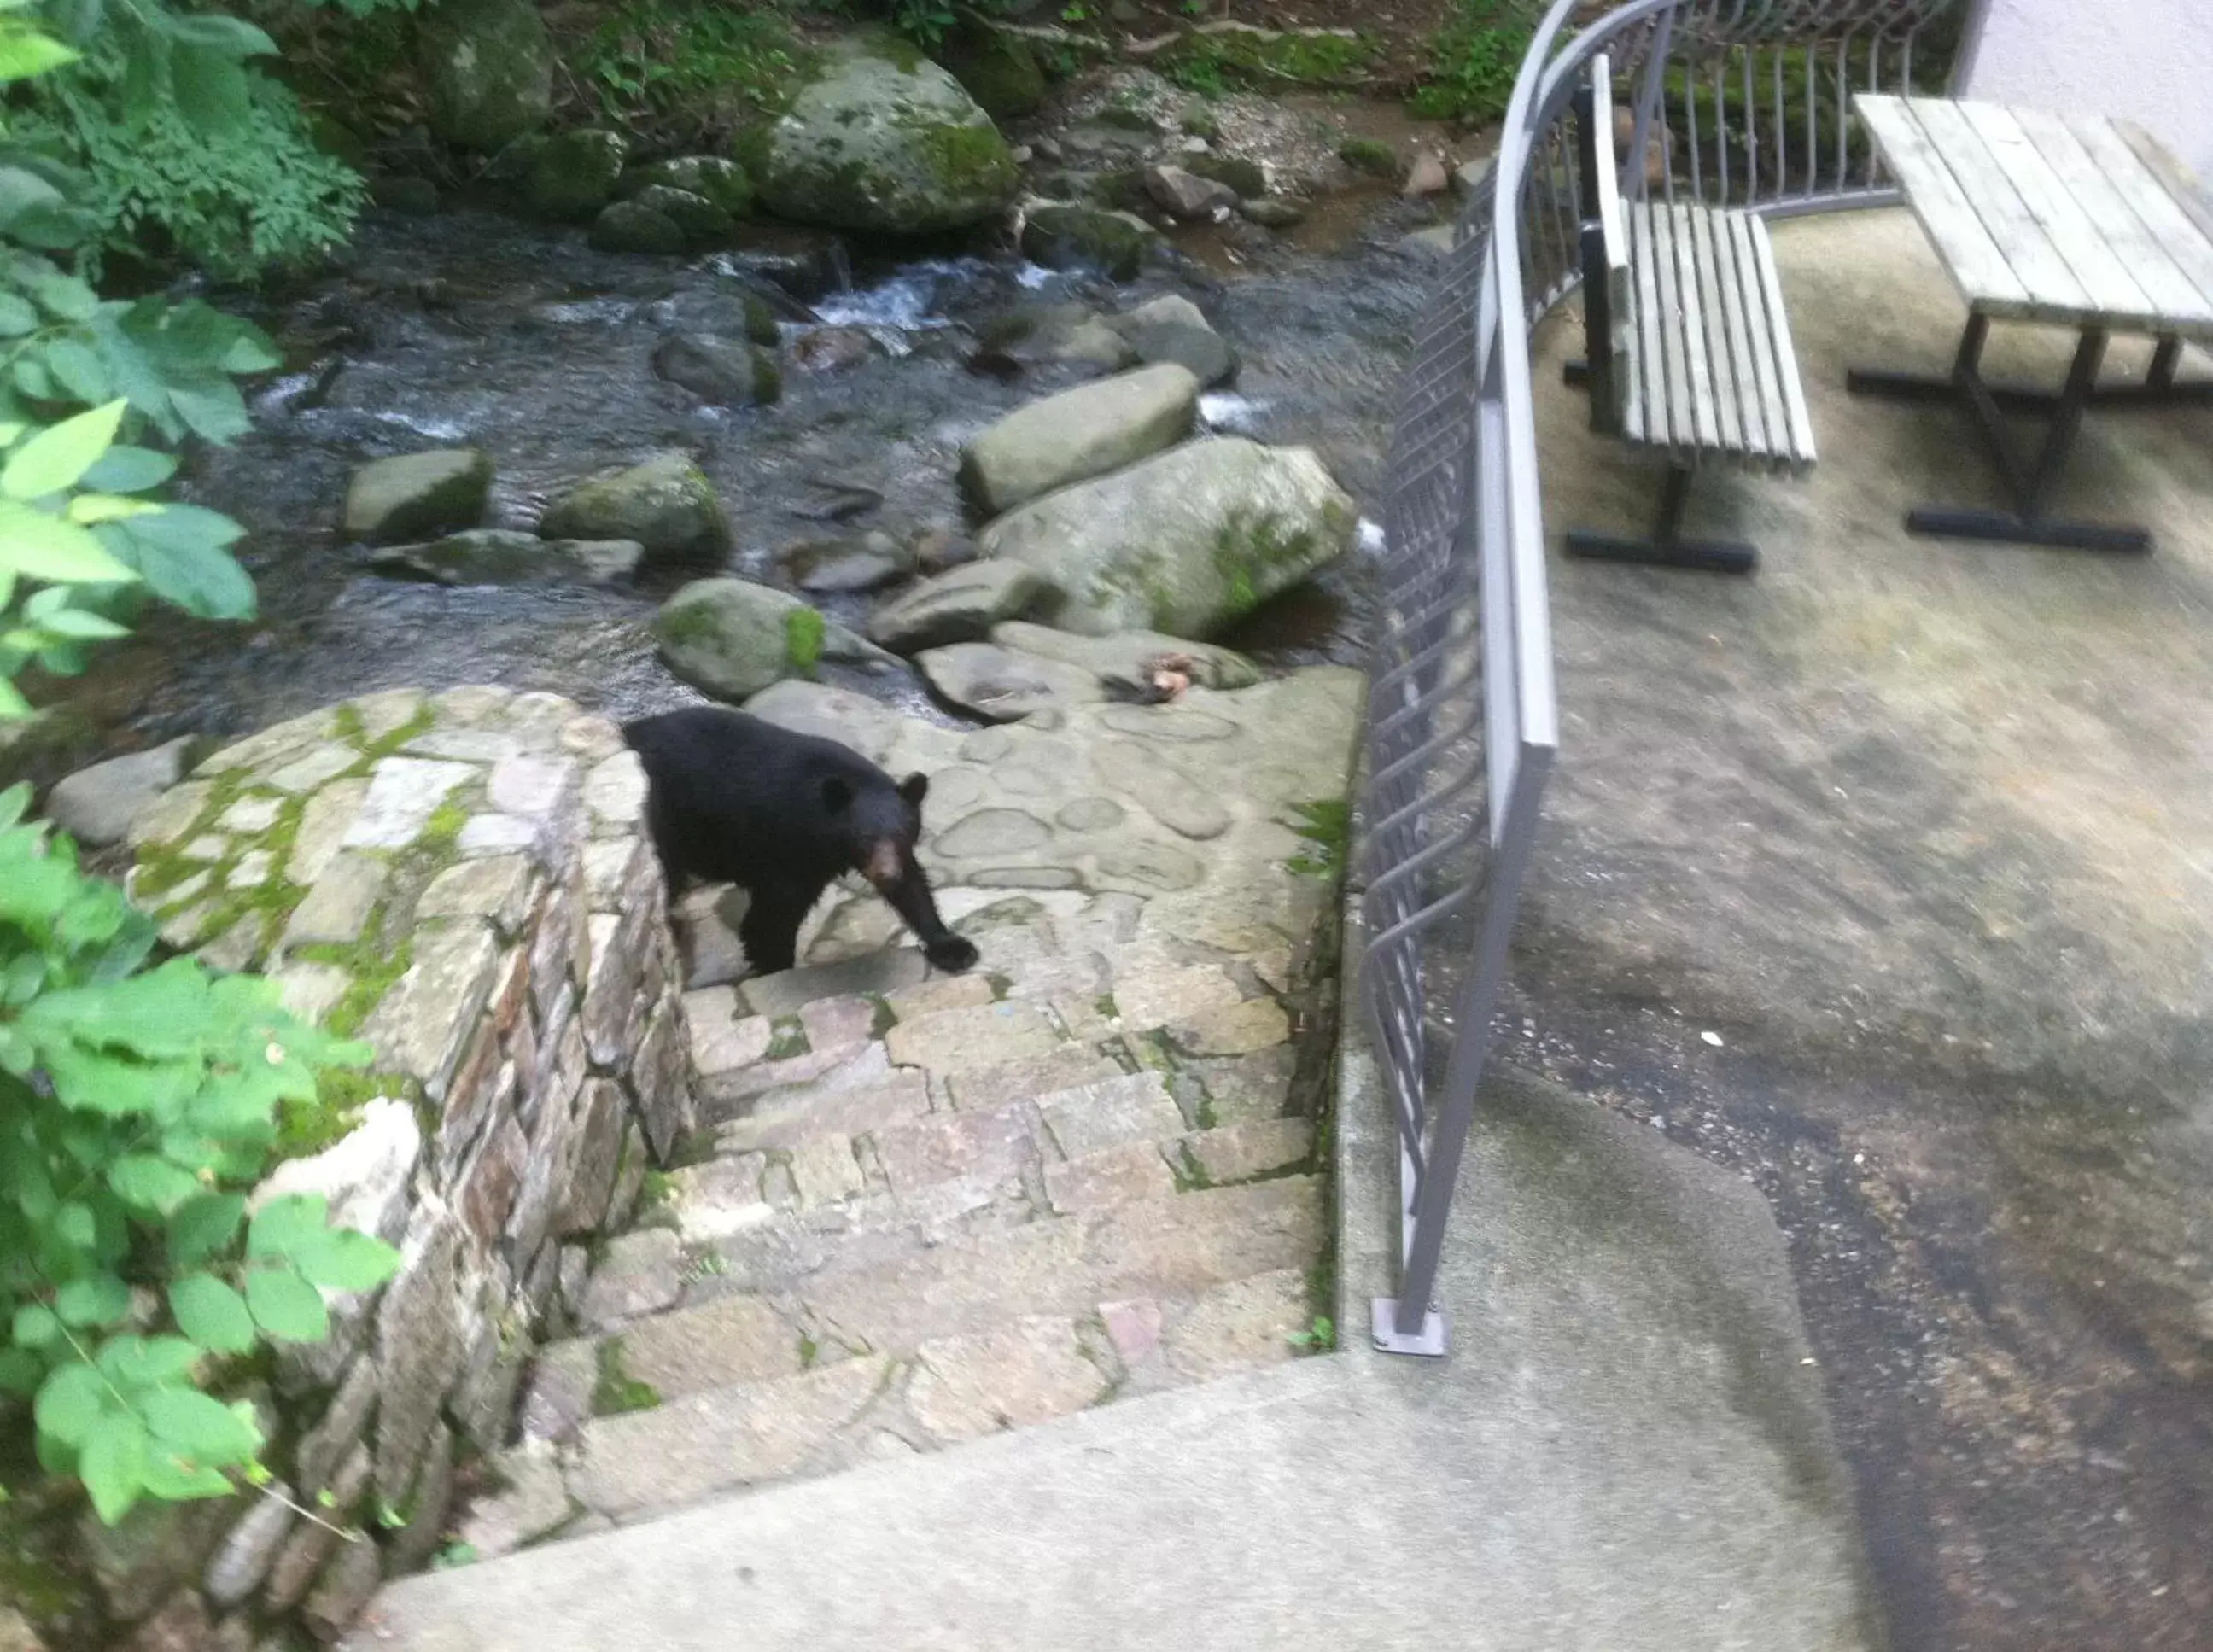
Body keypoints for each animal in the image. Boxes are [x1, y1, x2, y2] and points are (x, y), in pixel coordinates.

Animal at [619, 703, 973, 982]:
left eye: (902, 834)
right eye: (864, 838)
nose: (886, 875)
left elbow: (914, 887)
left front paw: (955, 947)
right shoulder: (786, 848)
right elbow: (772, 915)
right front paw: (774, 963)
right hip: (669, 824)